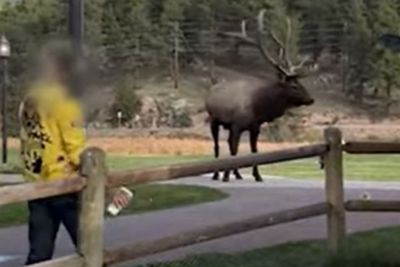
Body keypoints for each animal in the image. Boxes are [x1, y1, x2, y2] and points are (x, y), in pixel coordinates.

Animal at [206, 9, 316, 182]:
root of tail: (212, 87)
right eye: (294, 86)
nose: (310, 99)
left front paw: (257, 176)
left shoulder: (254, 127)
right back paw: (217, 174)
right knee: (217, 145)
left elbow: (254, 151)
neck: (258, 107)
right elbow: (234, 149)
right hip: (213, 120)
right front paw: (225, 176)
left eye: (300, 84)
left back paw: (237, 174)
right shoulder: (236, 125)